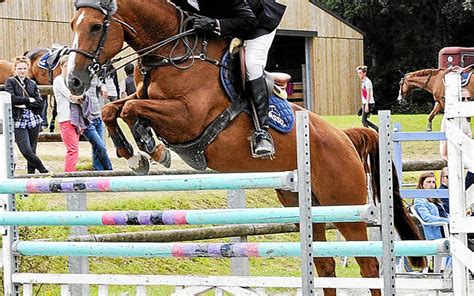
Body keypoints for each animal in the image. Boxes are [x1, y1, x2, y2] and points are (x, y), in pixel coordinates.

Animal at [65, 1, 424, 294]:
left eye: (95, 26)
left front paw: (151, 149)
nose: (73, 82)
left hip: (346, 208)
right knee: (324, 266)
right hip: (307, 205)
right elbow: (115, 109)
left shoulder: (187, 117)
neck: (175, 53)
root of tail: (345, 137)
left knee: (369, 266)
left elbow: (130, 109)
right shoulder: (147, 98)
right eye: (73, 24)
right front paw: (133, 154)